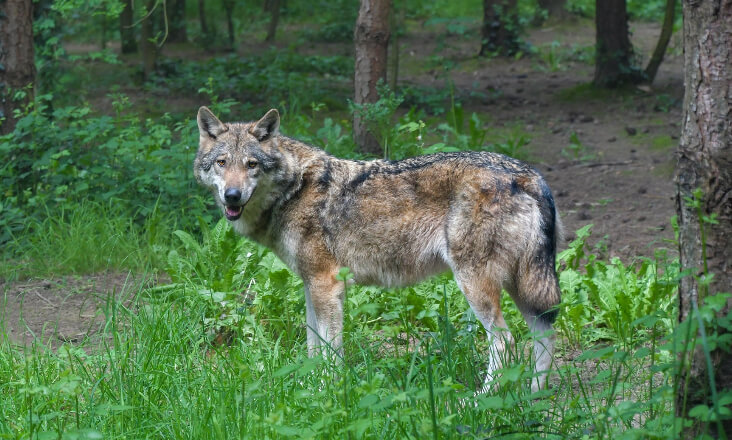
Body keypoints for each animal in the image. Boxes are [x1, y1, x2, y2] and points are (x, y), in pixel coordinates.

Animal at [193, 108, 560, 390]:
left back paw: (480, 401)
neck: (294, 189)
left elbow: (330, 351)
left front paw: (326, 393)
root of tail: (529, 175)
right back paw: (533, 398)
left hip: (476, 284)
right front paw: (307, 390)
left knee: (506, 342)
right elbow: (313, 348)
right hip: (523, 286)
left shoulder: (327, 285)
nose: (232, 196)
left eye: (251, 164)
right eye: (222, 163)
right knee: (543, 336)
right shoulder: (311, 286)